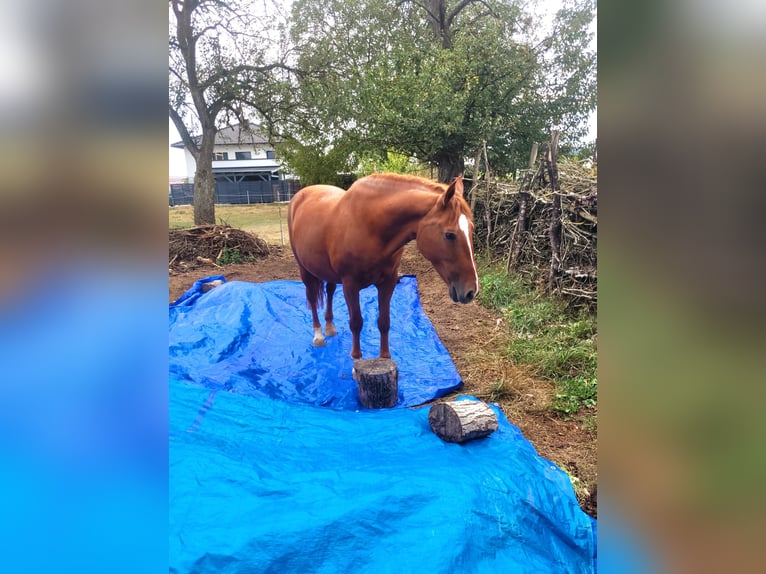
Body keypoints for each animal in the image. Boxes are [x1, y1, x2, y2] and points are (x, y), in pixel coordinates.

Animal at [288, 173, 480, 360]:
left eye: (471, 229)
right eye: (449, 235)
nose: (472, 291)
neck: (370, 228)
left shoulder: (388, 282)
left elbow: (384, 322)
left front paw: (385, 357)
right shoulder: (350, 286)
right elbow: (356, 323)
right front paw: (356, 359)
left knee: (330, 291)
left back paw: (329, 327)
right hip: (304, 269)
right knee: (312, 298)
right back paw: (319, 335)